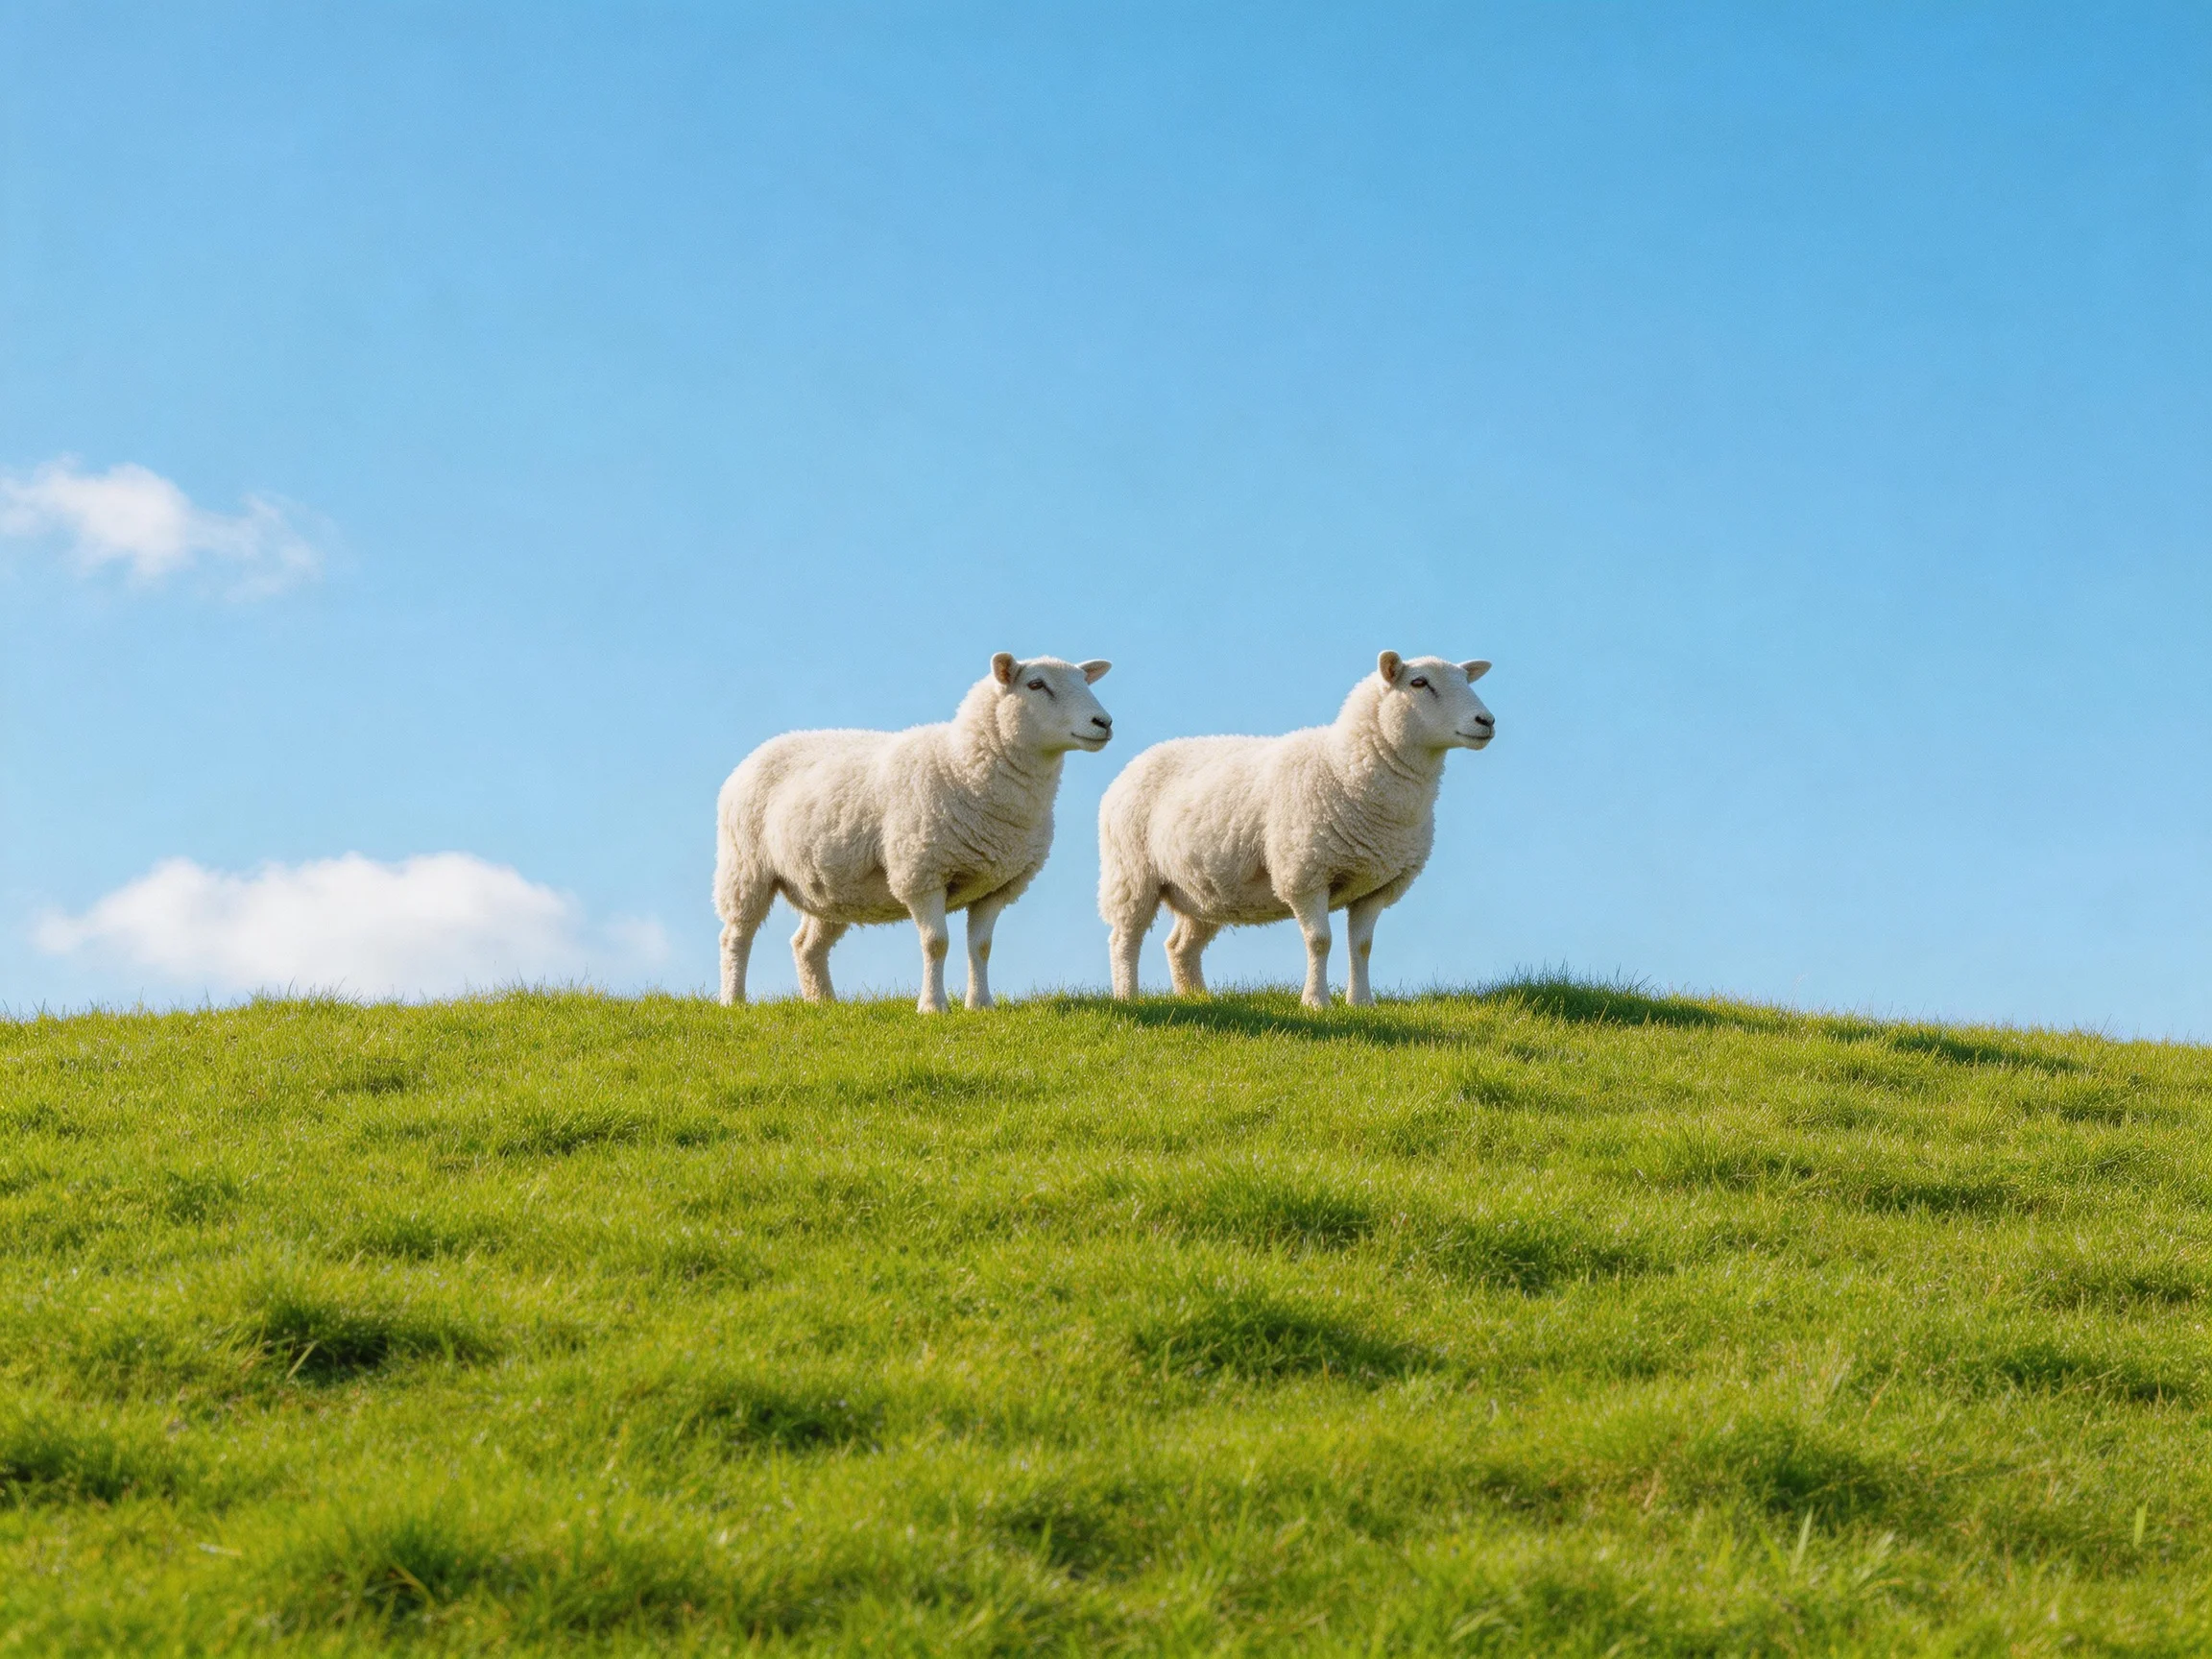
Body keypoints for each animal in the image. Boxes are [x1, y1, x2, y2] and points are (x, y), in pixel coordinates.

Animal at [715, 653, 1113, 1014]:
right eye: (1036, 684)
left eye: (1084, 681)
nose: (1104, 722)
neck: (961, 764)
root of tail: (763, 749)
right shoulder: (921, 873)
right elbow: (936, 943)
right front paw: (933, 1006)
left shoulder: (997, 885)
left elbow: (981, 947)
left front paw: (981, 1005)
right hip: (745, 868)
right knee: (735, 936)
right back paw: (734, 1001)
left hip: (830, 888)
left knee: (806, 945)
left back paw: (824, 1004)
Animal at [1098, 652, 1493, 1009]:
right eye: (1419, 683)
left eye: (1466, 680)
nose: (1486, 720)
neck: (1343, 766)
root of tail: (1136, 762)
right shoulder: (1305, 874)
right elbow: (1320, 941)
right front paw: (1317, 1002)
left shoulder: (1376, 885)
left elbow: (1362, 946)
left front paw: (1362, 1003)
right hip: (1132, 874)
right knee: (1124, 940)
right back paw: (1128, 998)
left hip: (1202, 889)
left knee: (1180, 946)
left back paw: (1198, 999)